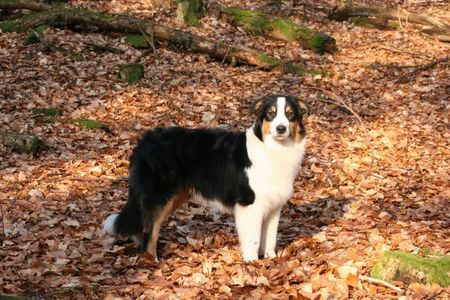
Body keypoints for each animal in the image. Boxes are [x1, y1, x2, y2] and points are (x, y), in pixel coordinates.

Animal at [103, 95, 308, 262]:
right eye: (271, 114)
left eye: (290, 114)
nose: (280, 129)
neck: (273, 149)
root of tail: (143, 141)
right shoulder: (250, 204)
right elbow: (253, 238)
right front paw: (252, 263)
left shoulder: (274, 206)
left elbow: (270, 237)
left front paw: (271, 259)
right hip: (160, 196)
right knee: (149, 230)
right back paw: (151, 261)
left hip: (173, 197)